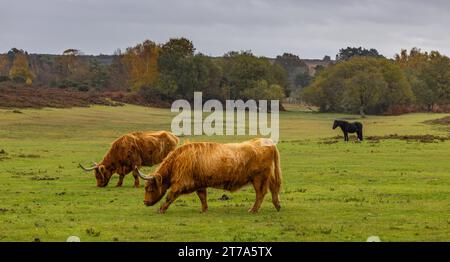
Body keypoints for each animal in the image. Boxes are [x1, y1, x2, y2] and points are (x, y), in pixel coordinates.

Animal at [135, 137, 282, 213]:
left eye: (150, 188)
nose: (145, 202)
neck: (177, 161)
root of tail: (266, 141)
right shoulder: (199, 183)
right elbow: (202, 197)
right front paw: (204, 210)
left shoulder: (181, 183)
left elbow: (170, 196)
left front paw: (161, 209)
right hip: (267, 176)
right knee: (274, 188)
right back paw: (277, 206)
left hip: (259, 178)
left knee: (261, 193)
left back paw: (253, 209)